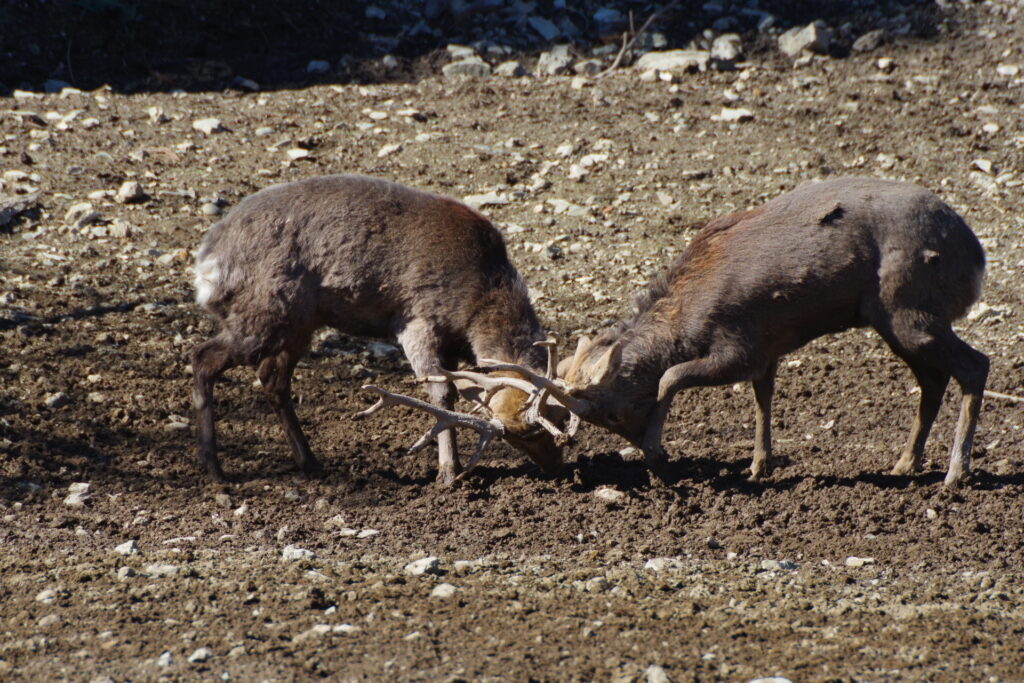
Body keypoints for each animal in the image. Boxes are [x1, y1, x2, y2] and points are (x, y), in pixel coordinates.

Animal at [190, 172, 569, 481]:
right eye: (522, 433)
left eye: (564, 421)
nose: (556, 468)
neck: (475, 303)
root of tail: (207, 263)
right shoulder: (417, 321)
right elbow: (441, 394)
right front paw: (449, 472)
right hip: (264, 312)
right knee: (203, 356)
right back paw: (215, 469)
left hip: (298, 325)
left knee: (272, 378)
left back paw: (309, 462)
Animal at [434, 176, 991, 485]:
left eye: (610, 413)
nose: (635, 438)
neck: (689, 318)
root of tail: (975, 256)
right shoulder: (767, 347)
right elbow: (763, 397)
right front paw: (759, 465)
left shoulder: (739, 344)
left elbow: (671, 376)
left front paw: (659, 455)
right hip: (894, 320)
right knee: (932, 379)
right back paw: (905, 465)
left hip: (911, 310)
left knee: (975, 364)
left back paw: (954, 473)